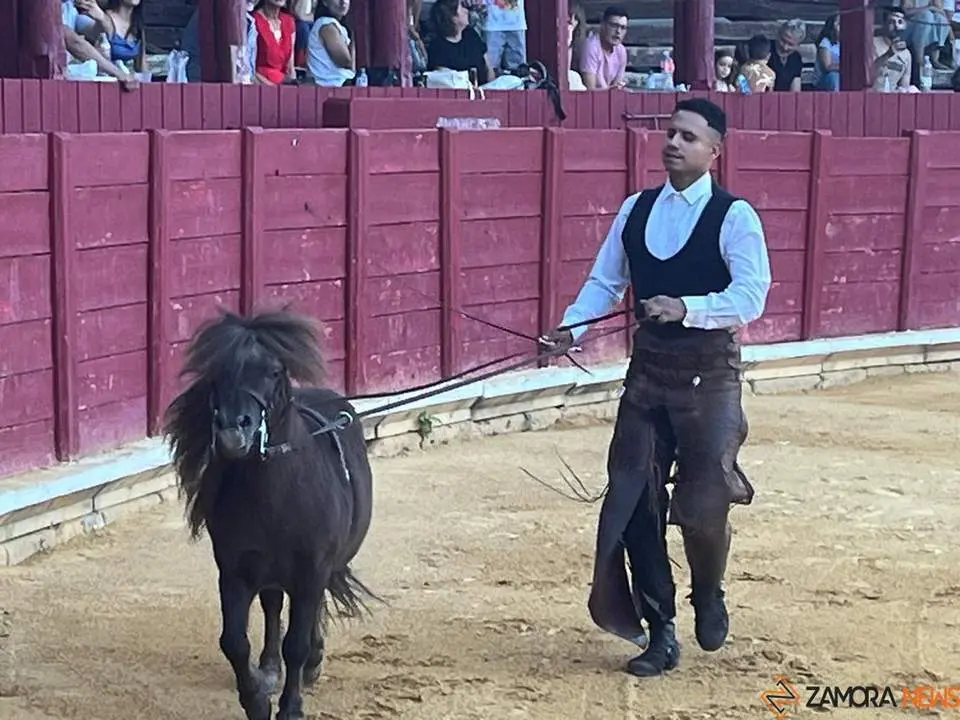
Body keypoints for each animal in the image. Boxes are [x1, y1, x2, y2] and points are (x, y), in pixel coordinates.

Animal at [163, 308, 376, 720]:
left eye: (274, 371)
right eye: (217, 371)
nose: (233, 431)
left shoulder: (311, 569)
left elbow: (297, 642)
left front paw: (290, 707)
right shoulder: (235, 571)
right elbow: (234, 641)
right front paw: (258, 700)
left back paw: (311, 661)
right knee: (274, 606)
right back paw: (269, 668)